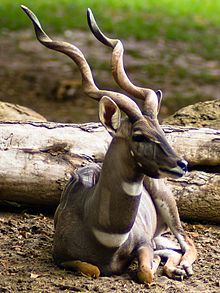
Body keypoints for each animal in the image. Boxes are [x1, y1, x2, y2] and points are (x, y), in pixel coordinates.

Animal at [21, 5, 198, 282]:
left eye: (161, 129)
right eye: (139, 135)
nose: (182, 164)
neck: (104, 234)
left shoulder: (144, 243)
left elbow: (145, 272)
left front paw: (155, 265)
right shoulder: (60, 256)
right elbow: (93, 270)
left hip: (167, 204)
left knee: (187, 242)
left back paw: (182, 268)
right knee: (173, 247)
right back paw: (175, 266)